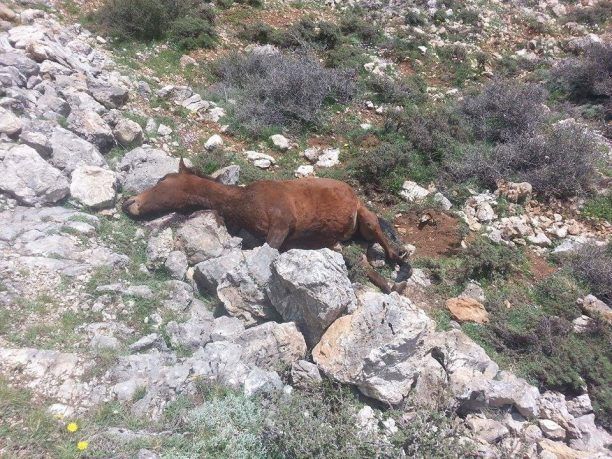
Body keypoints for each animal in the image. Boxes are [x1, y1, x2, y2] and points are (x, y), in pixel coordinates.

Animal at [123, 160, 412, 292]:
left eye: (162, 179)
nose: (129, 203)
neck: (243, 201)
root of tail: (351, 192)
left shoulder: (281, 225)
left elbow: (267, 251)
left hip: (365, 218)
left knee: (381, 238)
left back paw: (399, 257)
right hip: (341, 240)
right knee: (366, 265)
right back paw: (392, 285)